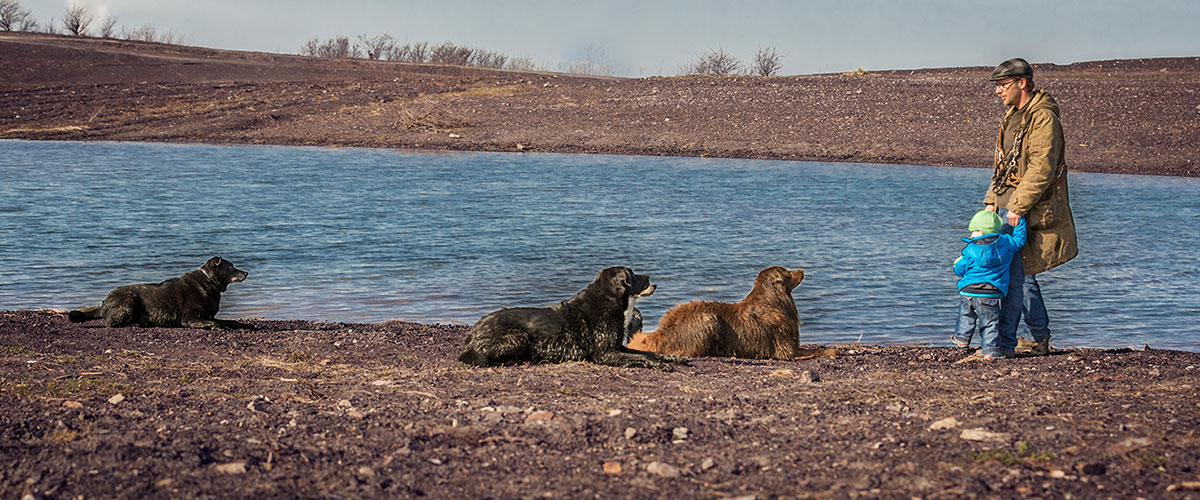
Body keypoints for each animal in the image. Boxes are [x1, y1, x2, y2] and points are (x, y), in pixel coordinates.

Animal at [66, 255, 249, 328]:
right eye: (232, 267)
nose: (246, 272)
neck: (208, 282)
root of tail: (103, 303)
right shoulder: (189, 318)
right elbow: (216, 323)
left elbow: (227, 321)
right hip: (129, 300)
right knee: (113, 322)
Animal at [458, 264, 686, 369]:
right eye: (635, 275)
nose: (651, 280)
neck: (608, 298)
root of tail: (470, 339)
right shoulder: (605, 354)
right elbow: (642, 357)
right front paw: (660, 365)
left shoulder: (619, 347)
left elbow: (649, 352)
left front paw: (673, 358)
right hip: (518, 337)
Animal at [628, 264, 835, 359]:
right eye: (788, 272)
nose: (802, 269)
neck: (774, 300)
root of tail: (663, 330)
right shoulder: (786, 348)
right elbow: (818, 351)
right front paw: (832, 350)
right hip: (709, 318)